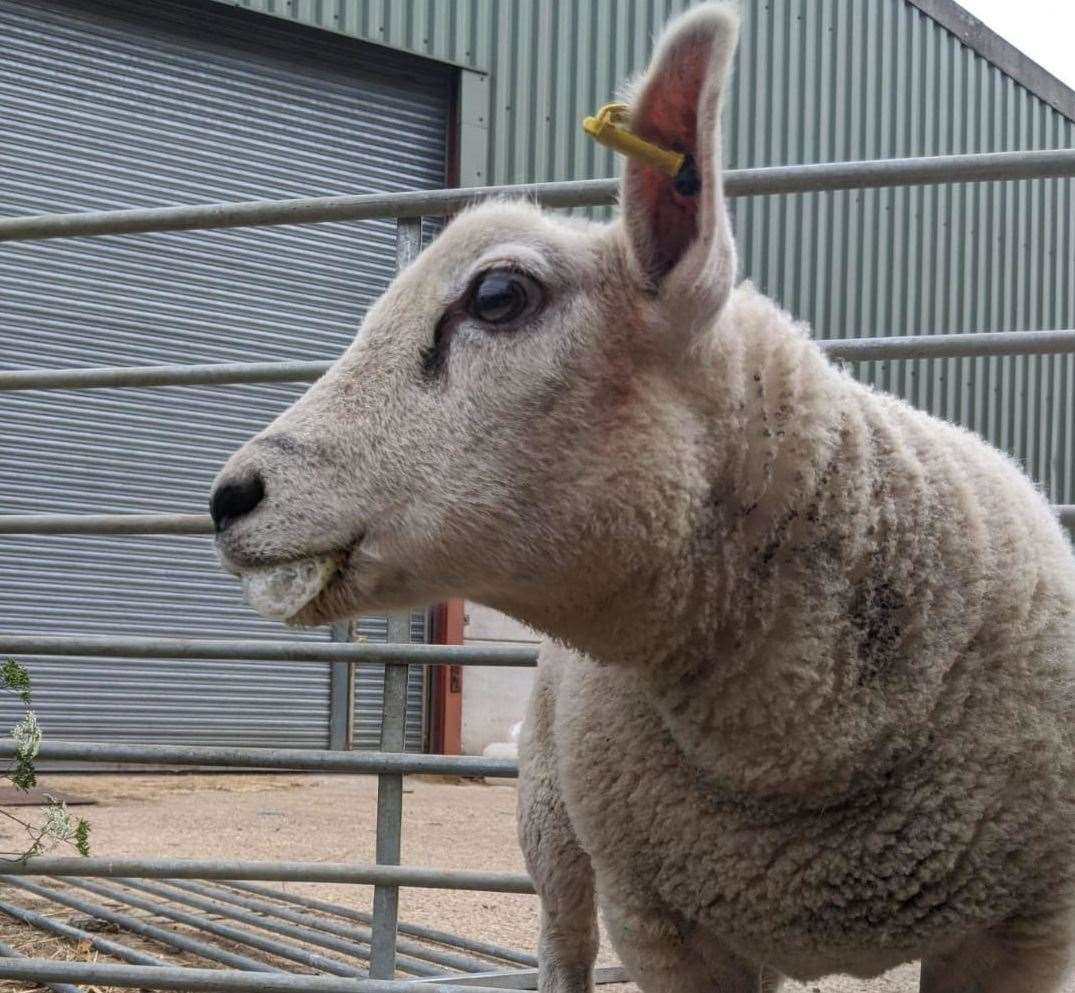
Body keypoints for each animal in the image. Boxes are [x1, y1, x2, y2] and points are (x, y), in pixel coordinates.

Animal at [209, 3, 1075, 988]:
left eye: (497, 295)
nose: (230, 496)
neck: (801, 740)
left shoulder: (1024, 923)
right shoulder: (662, 921)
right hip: (550, 814)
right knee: (562, 941)